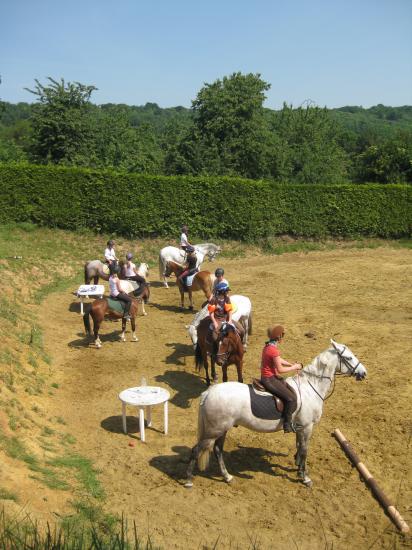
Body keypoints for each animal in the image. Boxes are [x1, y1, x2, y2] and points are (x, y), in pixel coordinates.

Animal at [185, 342, 366, 490]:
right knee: (196, 450)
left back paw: (227, 477)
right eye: (349, 357)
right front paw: (305, 477)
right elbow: (304, 450)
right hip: (213, 431)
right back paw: (188, 480)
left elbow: (299, 447)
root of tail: (209, 392)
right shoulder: (307, 427)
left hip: (221, 430)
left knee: (217, 450)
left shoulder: (300, 427)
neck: (310, 387)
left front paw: (298, 468)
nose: (363, 373)